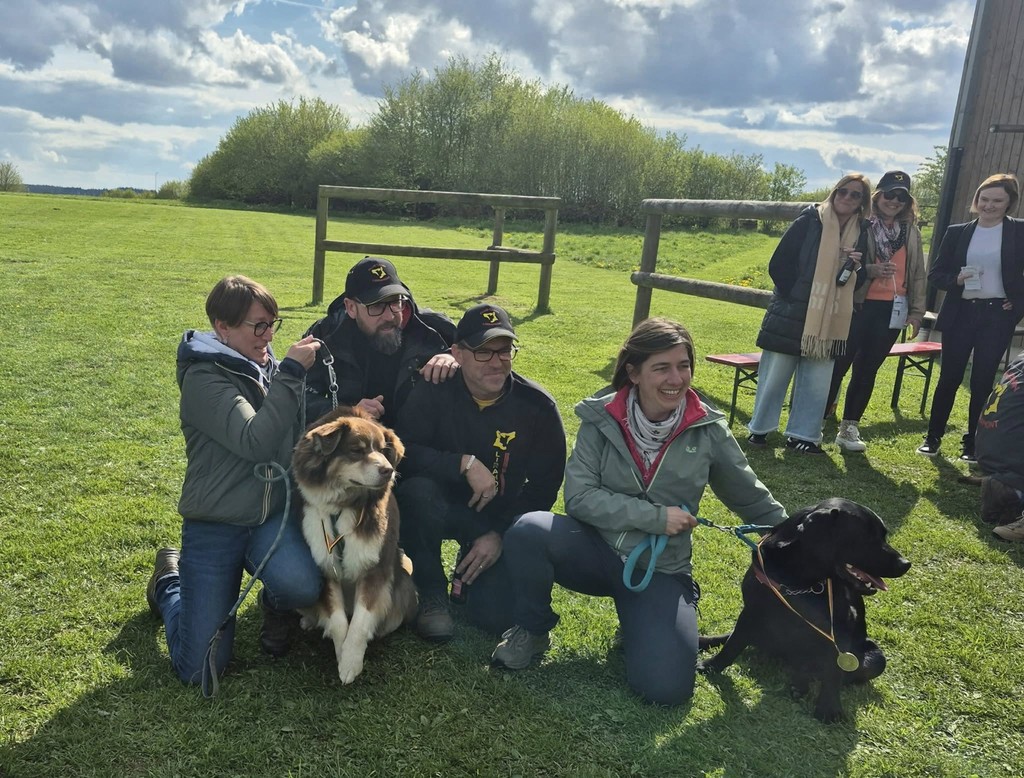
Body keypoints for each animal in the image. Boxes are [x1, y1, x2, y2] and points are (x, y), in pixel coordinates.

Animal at [292, 406, 418, 683]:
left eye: (382, 450)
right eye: (357, 451)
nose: (388, 471)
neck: (343, 504)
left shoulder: (375, 567)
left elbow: (360, 620)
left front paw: (351, 661)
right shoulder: (325, 566)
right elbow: (339, 621)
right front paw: (343, 656)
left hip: (404, 579)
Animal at [699, 498, 911, 722]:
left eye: (883, 535)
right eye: (866, 537)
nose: (906, 564)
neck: (799, 579)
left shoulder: (840, 624)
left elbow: (834, 669)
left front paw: (829, 707)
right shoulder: (752, 610)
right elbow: (733, 642)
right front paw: (712, 665)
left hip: (875, 658)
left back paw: (800, 684)